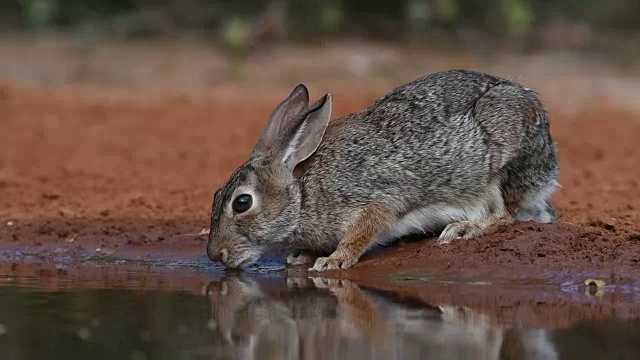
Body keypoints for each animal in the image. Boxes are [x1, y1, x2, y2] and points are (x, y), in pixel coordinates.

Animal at [208, 69, 556, 270]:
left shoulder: (374, 202)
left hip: (500, 162)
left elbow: (362, 232)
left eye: (242, 203)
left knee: (505, 214)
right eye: (215, 196)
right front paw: (302, 256)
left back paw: (463, 229)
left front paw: (332, 261)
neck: (303, 192)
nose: (215, 255)